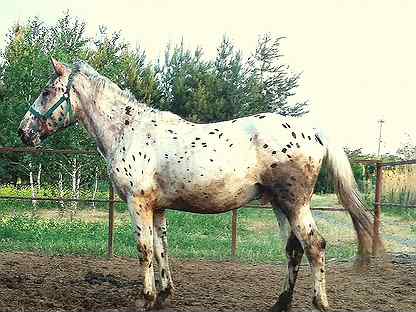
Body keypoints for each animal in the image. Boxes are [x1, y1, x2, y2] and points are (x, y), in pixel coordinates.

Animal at [18, 59, 384, 312]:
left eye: (47, 91)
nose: (24, 132)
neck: (129, 130)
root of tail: (314, 132)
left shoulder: (138, 203)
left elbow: (144, 249)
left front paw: (145, 298)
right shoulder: (158, 207)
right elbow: (162, 247)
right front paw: (164, 295)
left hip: (295, 205)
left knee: (315, 246)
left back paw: (319, 303)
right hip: (281, 206)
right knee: (294, 250)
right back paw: (280, 304)